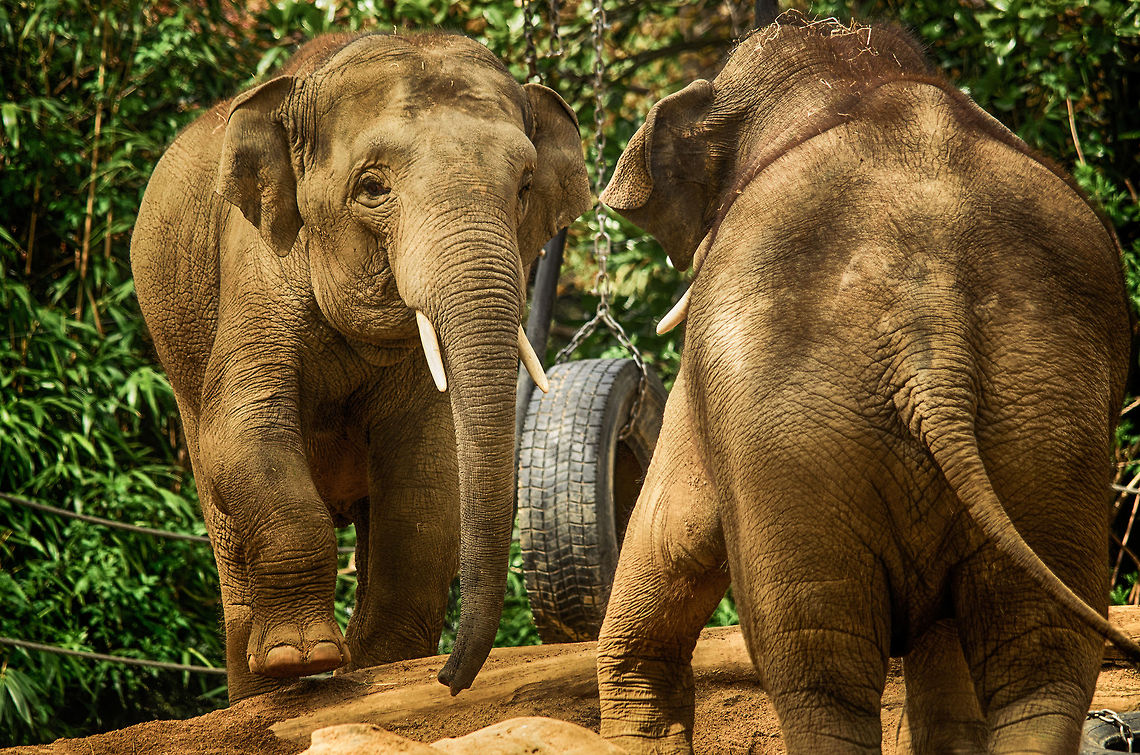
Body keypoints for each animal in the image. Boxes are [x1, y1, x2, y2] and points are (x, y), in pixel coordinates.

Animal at [130, 31, 590, 703]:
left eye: (526, 187)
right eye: (371, 188)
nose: (449, 679)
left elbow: (428, 473)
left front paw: (383, 664)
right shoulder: (258, 264)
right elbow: (243, 430)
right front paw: (305, 658)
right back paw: (262, 689)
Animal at [594, 12, 1140, 754]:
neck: (857, 71)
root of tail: (934, 331)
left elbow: (675, 525)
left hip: (795, 442)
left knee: (818, 668)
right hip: (1045, 429)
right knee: (1042, 662)